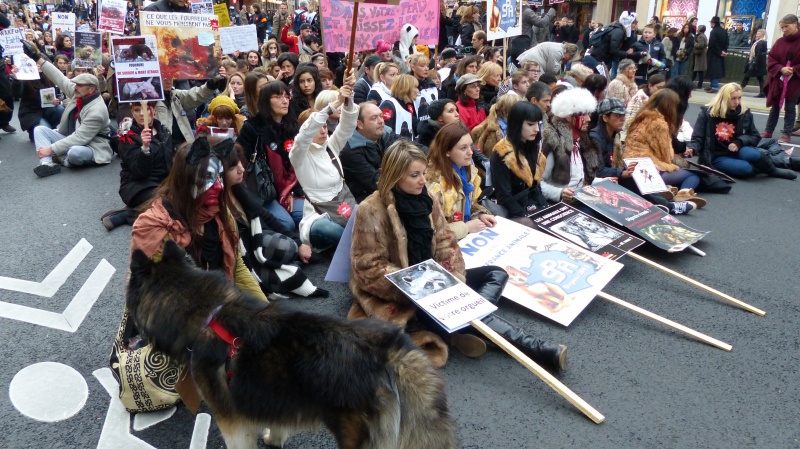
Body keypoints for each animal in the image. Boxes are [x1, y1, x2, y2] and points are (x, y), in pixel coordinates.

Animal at [128, 242, 460, 448]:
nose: (130, 339)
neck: (208, 313)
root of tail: (388, 353)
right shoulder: (275, 400)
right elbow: (277, 425)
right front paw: (273, 439)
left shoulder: (231, 420)